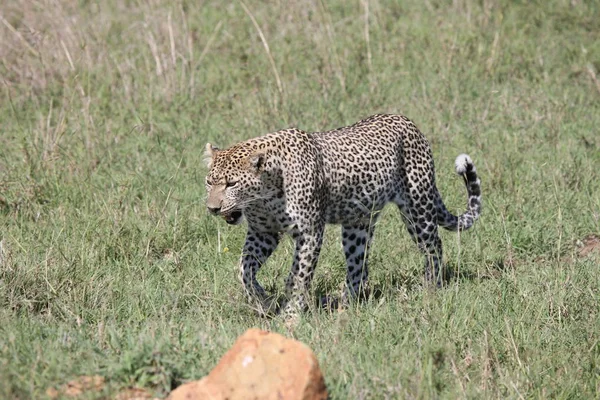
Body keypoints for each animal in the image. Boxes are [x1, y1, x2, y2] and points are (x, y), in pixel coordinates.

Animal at [204, 115, 480, 318]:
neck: (265, 195)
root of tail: (409, 122)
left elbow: (298, 277)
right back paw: (343, 304)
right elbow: (244, 269)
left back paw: (431, 289)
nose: (212, 208)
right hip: (358, 224)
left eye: (231, 184)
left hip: (417, 206)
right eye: (209, 182)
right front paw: (263, 302)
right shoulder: (263, 233)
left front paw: (290, 316)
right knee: (359, 267)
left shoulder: (309, 233)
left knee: (434, 246)